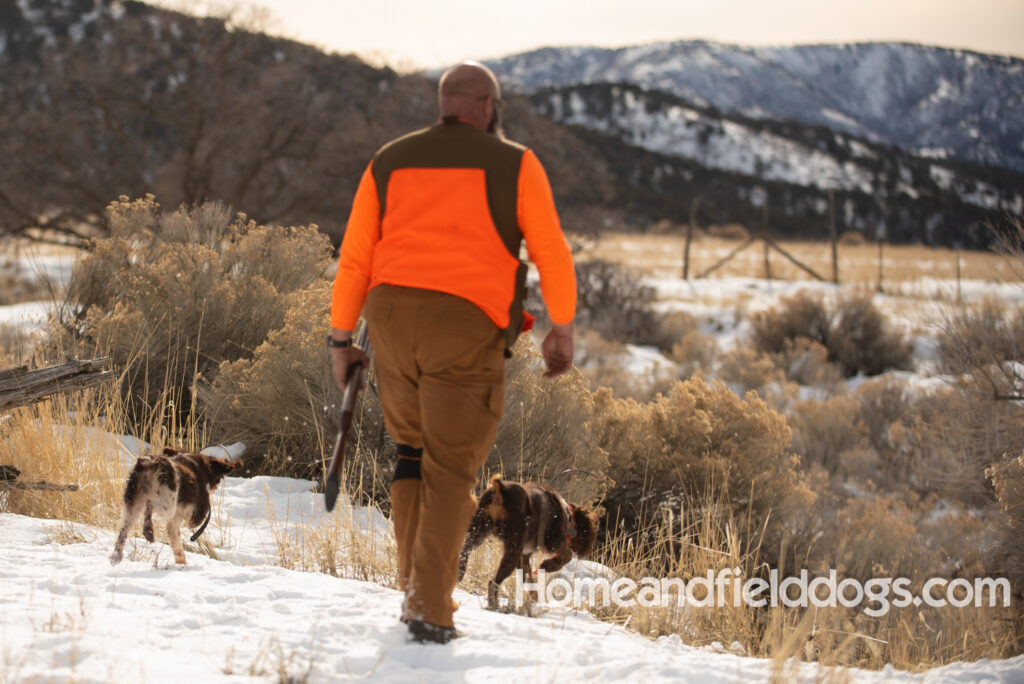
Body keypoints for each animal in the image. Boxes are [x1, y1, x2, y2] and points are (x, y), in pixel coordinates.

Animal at [108, 444, 241, 565]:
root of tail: (150, 463)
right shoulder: (196, 510)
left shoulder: (174, 523)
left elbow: (178, 549)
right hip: (167, 504)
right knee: (150, 505)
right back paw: (148, 530)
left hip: (131, 504)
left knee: (123, 531)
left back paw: (117, 556)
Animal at [458, 475, 598, 610]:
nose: (589, 551)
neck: (568, 517)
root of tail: (501, 490)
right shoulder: (553, 543)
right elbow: (567, 555)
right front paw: (549, 565)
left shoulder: (524, 556)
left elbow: (528, 577)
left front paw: (533, 598)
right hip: (512, 549)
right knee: (493, 582)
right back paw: (494, 605)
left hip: (478, 531)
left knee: (464, 551)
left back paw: (460, 572)